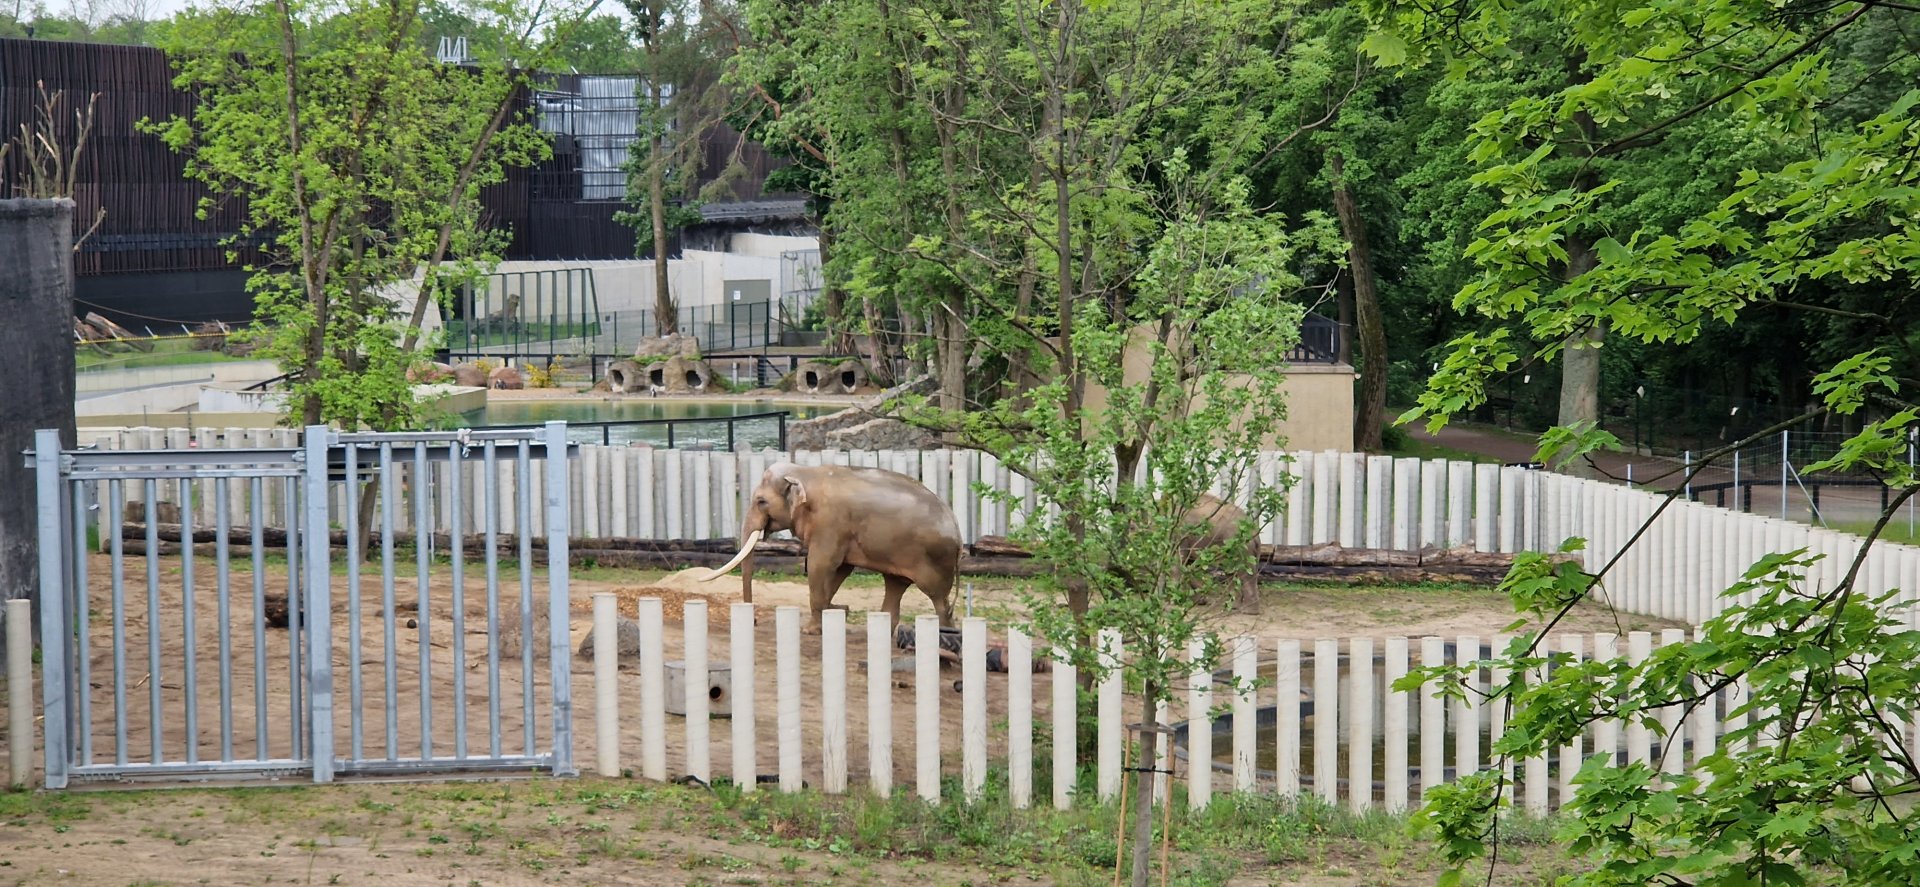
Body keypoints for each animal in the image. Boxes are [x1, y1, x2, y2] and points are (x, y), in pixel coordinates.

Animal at [697, 460, 960, 634]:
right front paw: (834, 609)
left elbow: (819, 564)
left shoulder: (830, 522)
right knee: (895, 585)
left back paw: (946, 634)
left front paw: (810, 630)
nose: (753, 621)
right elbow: (841, 568)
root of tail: (957, 530)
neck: (805, 472)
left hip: (933, 561)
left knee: (939, 599)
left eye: (761, 501)